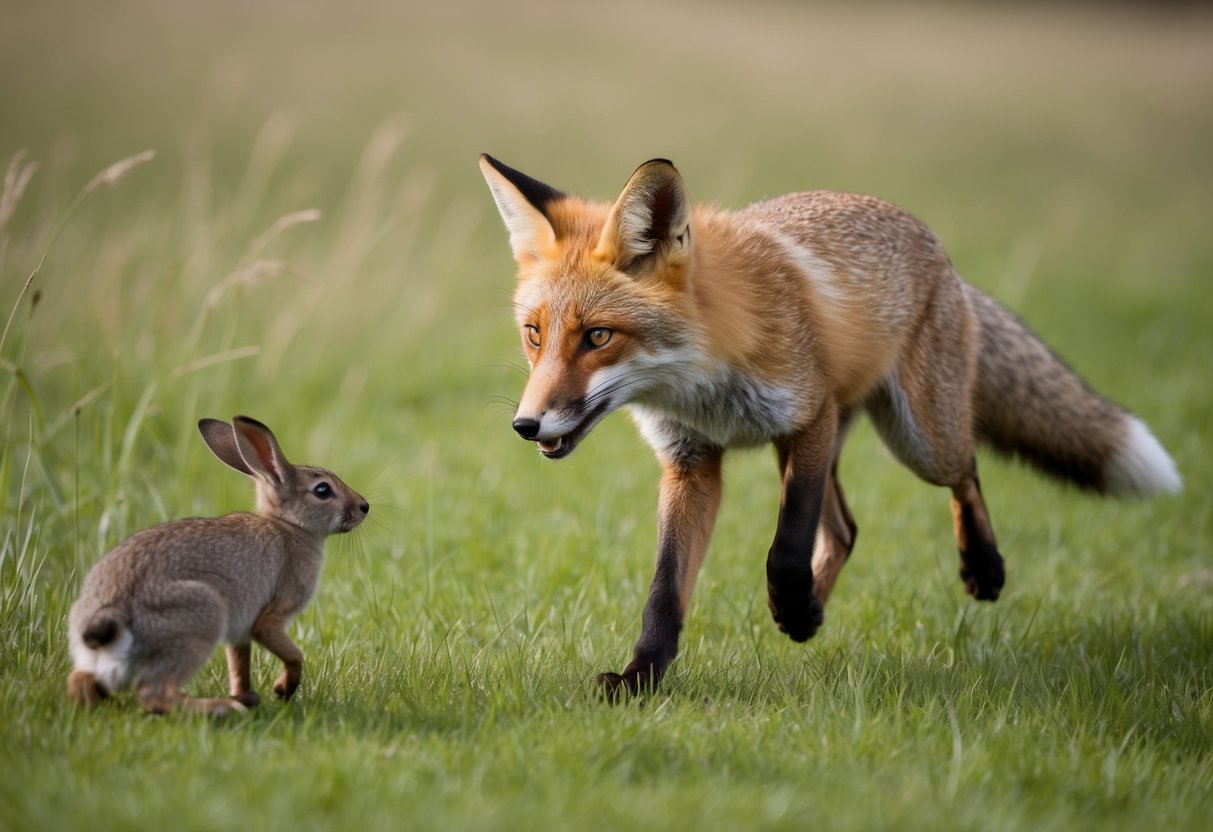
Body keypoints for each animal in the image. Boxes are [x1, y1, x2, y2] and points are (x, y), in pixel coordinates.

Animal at [66, 416, 369, 715]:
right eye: (322, 490)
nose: (364, 506)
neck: (290, 526)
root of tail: (107, 618)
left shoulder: (240, 632)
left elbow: (239, 666)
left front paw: (250, 692)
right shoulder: (271, 615)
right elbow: (293, 654)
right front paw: (282, 689)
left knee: (81, 682)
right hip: (198, 616)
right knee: (157, 695)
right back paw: (224, 708)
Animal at [479, 153, 1182, 698]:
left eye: (598, 337)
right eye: (535, 334)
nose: (525, 424)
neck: (701, 386)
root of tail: (937, 248)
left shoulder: (807, 417)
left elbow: (786, 544)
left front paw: (790, 605)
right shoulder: (691, 461)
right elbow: (665, 591)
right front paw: (640, 680)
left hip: (917, 438)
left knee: (964, 471)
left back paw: (981, 566)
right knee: (846, 529)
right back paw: (816, 606)